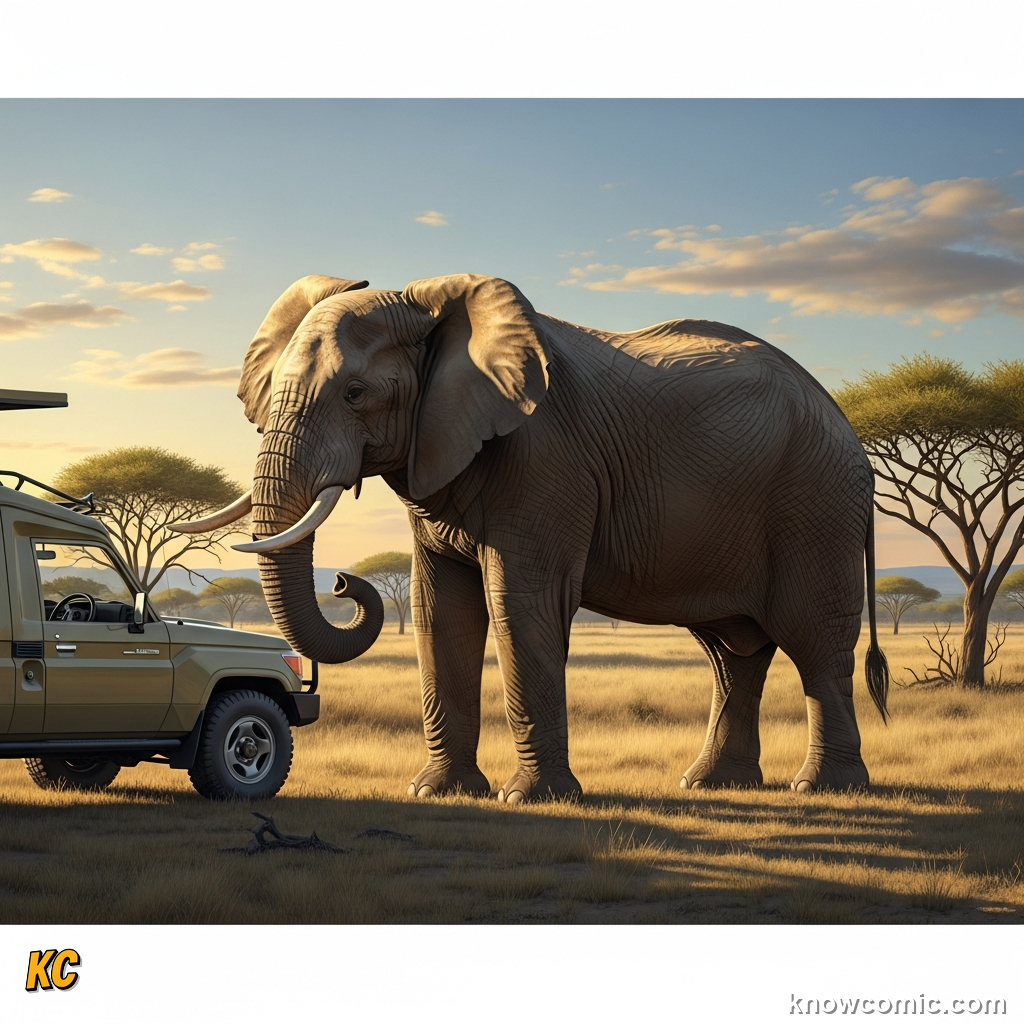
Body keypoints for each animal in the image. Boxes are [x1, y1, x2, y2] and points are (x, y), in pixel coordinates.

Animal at [175, 273, 889, 800]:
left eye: (355, 393)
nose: (348, 582)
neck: (434, 310)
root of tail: (850, 431)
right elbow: (440, 609)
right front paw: (437, 793)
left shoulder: (547, 460)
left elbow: (521, 603)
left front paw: (531, 798)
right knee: (732, 651)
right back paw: (713, 785)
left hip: (816, 503)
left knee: (813, 641)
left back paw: (824, 789)